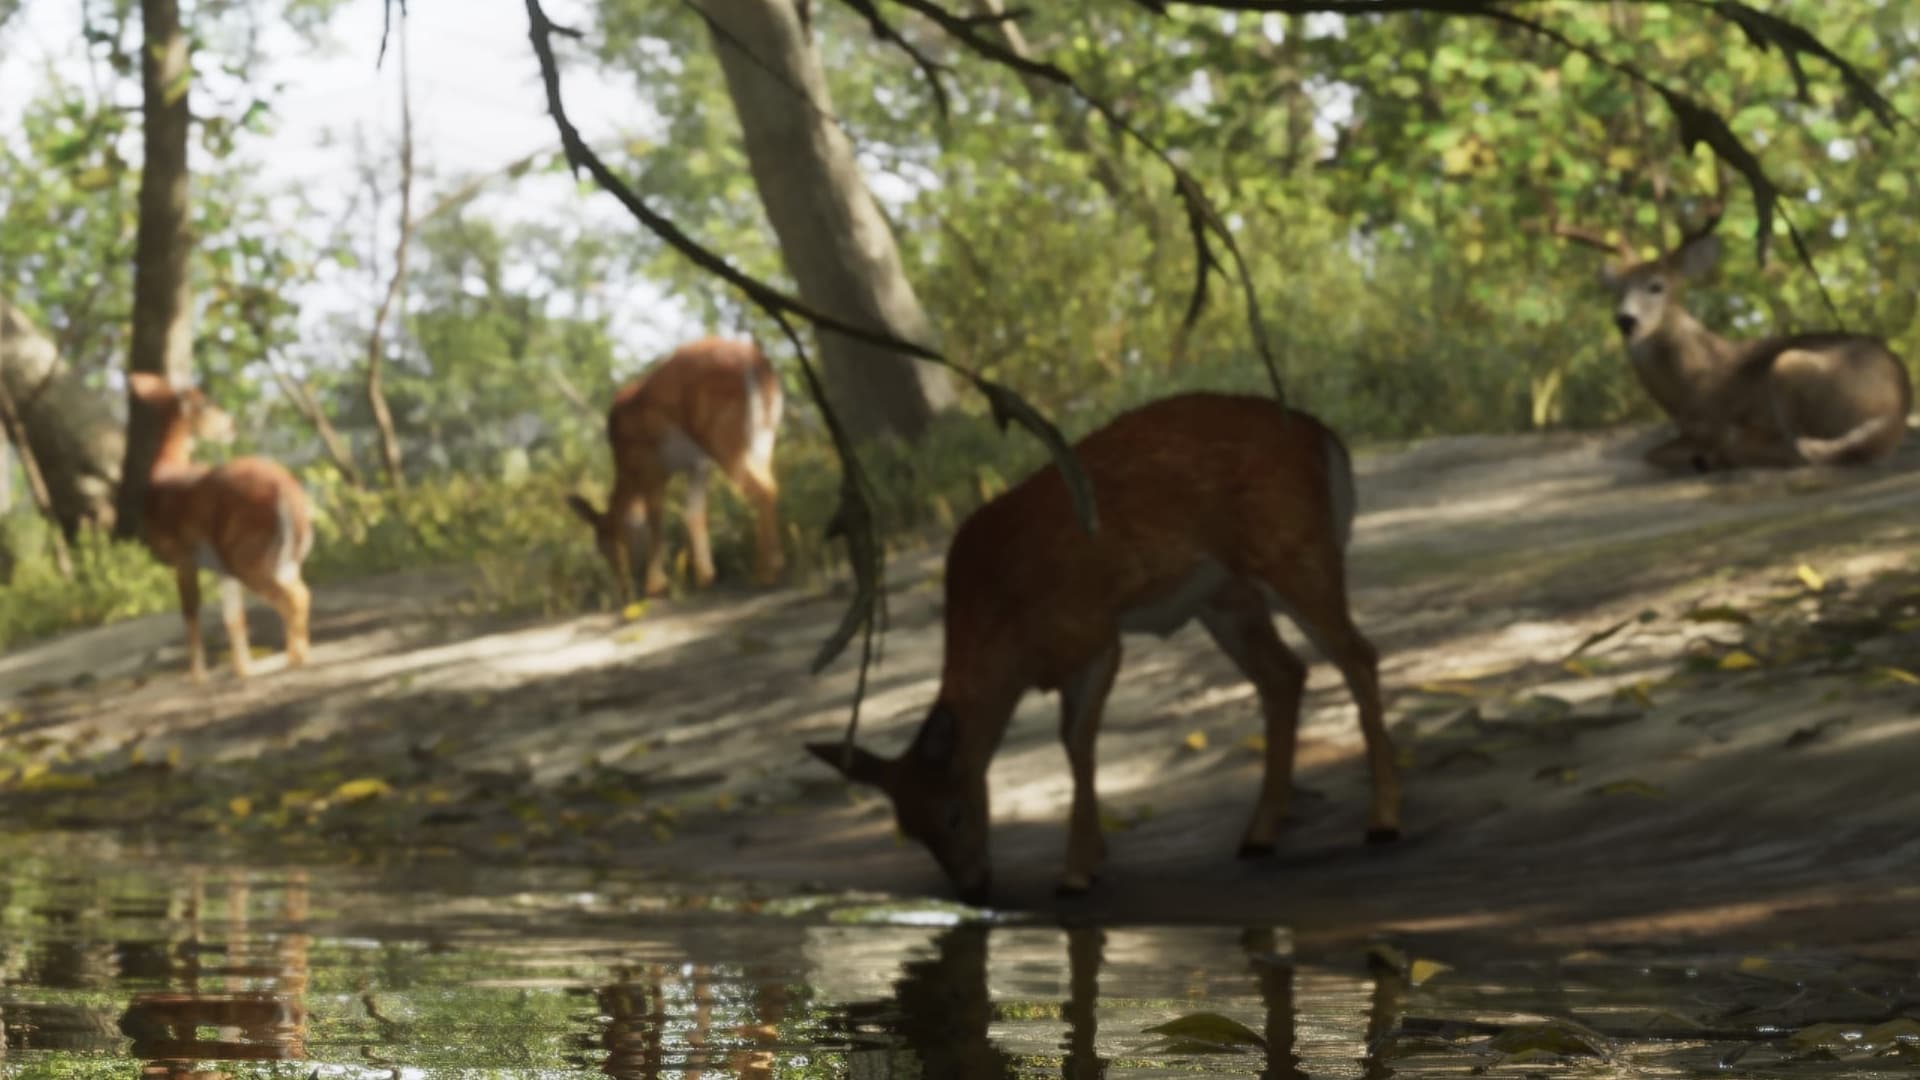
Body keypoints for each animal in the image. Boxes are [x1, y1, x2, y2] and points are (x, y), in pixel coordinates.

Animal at [127, 372, 314, 683]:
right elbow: (232, 617)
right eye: (204, 402)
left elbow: (191, 610)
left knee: (296, 597)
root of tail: (287, 492)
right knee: (299, 593)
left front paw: (197, 675)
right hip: (278, 557)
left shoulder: (183, 555)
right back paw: (289, 656)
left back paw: (295, 658)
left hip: (246, 554)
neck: (163, 471)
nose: (231, 425)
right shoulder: (214, 566)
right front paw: (228, 669)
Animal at [566, 336, 785, 607]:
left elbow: (656, 520)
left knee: (762, 490)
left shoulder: (651, 467)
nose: (624, 592)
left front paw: (656, 586)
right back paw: (770, 566)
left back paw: (766, 574)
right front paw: (705, 578)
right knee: (771, 485)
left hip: (723, 438)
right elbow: (693, 514)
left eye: (604, 545)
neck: (625, 466)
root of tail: (756, 363)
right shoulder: (698, 465)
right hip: (763, 436)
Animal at [806, 392, 1400, 906]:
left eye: (954, 812)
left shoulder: (1093, 633)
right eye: (908, 828)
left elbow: (1076, 741)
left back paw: (1382, 822)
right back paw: (1259, 835)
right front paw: (1093, 856)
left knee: (1357, 655)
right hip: (1226, 595)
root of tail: (1326, 439)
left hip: (1295, 549)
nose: (974, 890)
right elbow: (1076, 744)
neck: (1007, 634)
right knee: (1284, 674)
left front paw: (1075, 871)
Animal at [1559, 207, 1911, 473]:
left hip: (1789, 363)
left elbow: (1660, 452)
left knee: (1799, 452)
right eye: (1616, 291)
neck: (1691, 385)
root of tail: (1895, 407)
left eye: (1656, 286)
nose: (1625, 320)